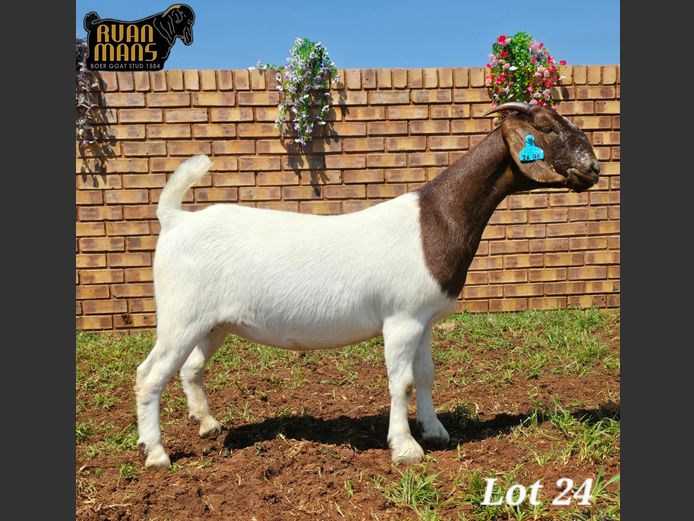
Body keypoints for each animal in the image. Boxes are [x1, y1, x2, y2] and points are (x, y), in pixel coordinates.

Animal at [135, 102, 600, 468]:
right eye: (547, 126)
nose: (594, 168)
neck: (435, 220)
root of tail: (175, 220)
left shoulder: (424, 320)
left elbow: (426, 374)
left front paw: (435, 431)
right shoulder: (401, 319)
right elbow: (401, 380)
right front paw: (406, 448)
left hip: (213, 323)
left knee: (191, 368)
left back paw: (208, 426)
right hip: (180, 316)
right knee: (150, 375)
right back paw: (156, 453)